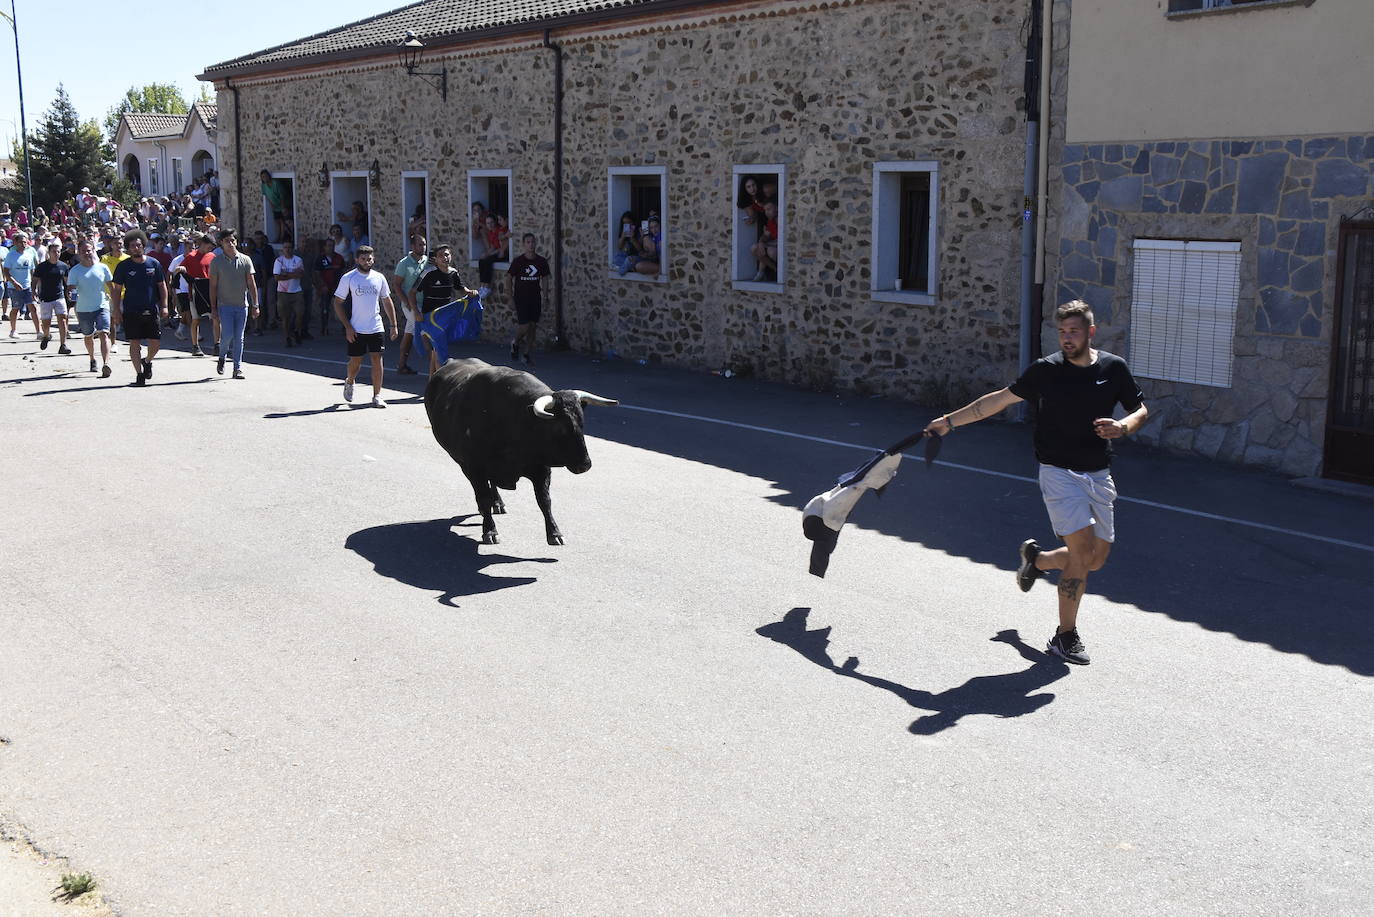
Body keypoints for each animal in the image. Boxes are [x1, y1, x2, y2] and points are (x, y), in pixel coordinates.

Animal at [423, 357, 618, 544]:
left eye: (581, 423)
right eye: (559, 428)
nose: (585, 464)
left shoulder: (541, 468)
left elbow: (544, 500)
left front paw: (554, 533)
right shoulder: (474, 467)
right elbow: (483, 498)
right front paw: (490, 531)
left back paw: (498, 503)